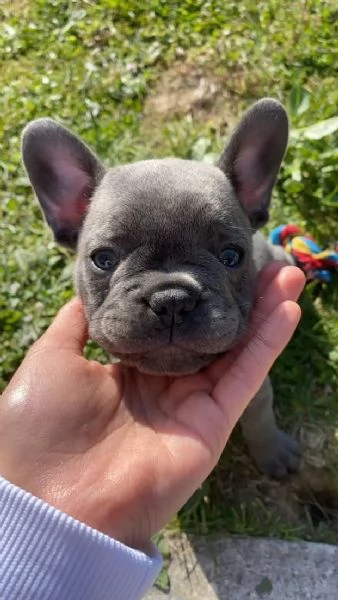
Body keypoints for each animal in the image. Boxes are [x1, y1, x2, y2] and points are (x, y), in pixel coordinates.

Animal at [22, 97, 300, 478]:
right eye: (103, 259)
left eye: (231, 256)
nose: (171, 299)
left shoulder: (258, 393)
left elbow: (259, 418)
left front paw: (273, 452)